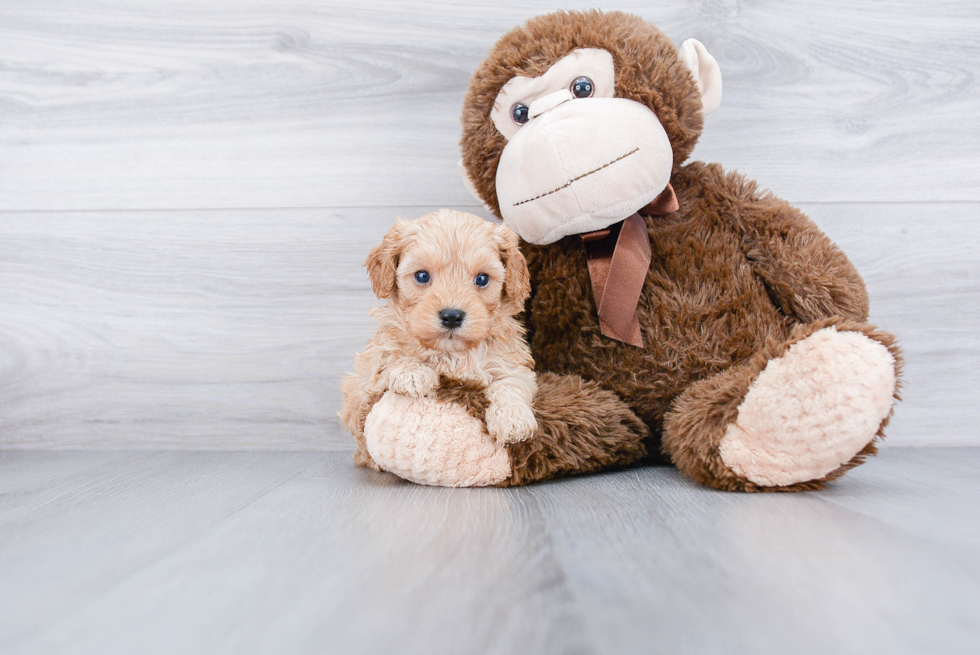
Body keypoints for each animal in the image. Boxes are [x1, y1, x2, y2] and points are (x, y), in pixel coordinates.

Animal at [340, 208, 540, 468]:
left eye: (482, 279)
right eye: (422, 276)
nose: (452, 316)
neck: (452, 353)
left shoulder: (511, 363)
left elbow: (510, 384)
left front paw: (513, 419)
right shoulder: (366, 379)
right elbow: (389, 357)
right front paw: (411, 373)